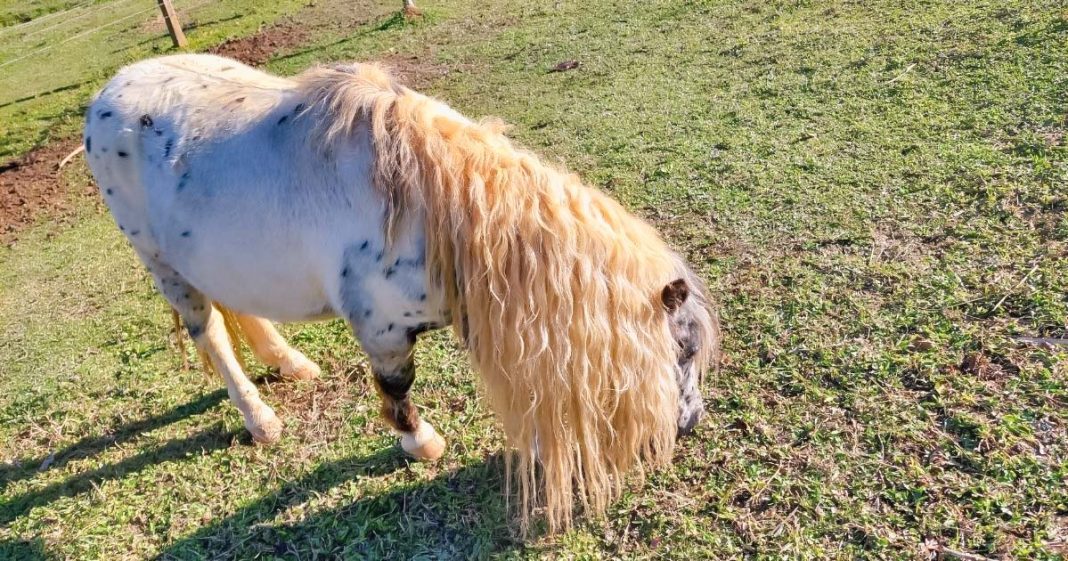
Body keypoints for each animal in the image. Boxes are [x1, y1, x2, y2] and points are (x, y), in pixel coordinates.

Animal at [81, 54, 717, 532]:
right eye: (682, 351)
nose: (690, 424)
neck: (426, 207)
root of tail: (107, 94)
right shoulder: (382, 330)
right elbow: (398, 386)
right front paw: (421, 444)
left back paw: (292, 365)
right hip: (164, 266)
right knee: (212, 334)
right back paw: (262, 421)